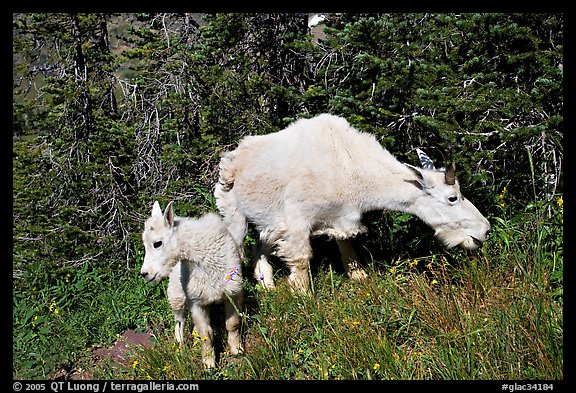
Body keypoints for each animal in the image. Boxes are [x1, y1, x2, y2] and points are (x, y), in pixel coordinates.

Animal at [143, 201, 246, 366]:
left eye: (157, 243)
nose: (145, 273)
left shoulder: (233, 292)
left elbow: (232, 323)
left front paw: (237, 349)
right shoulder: (196, 301)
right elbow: (206, 333)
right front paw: (209, 362)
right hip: (176, 294)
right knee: (179, 321)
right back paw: (180, 347)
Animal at [214, 113, 492, 290]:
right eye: (452, 198)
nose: (485, 231)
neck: (351, 167)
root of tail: (233, 155)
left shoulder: (343, 217)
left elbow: (348, 247)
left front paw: (359, 278)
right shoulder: (297, 219)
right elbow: (302, 259)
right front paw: (302, 296)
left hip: (269, 221)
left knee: (260, 244)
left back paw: (267, 283)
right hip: (234, 211)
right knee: (238, 245)